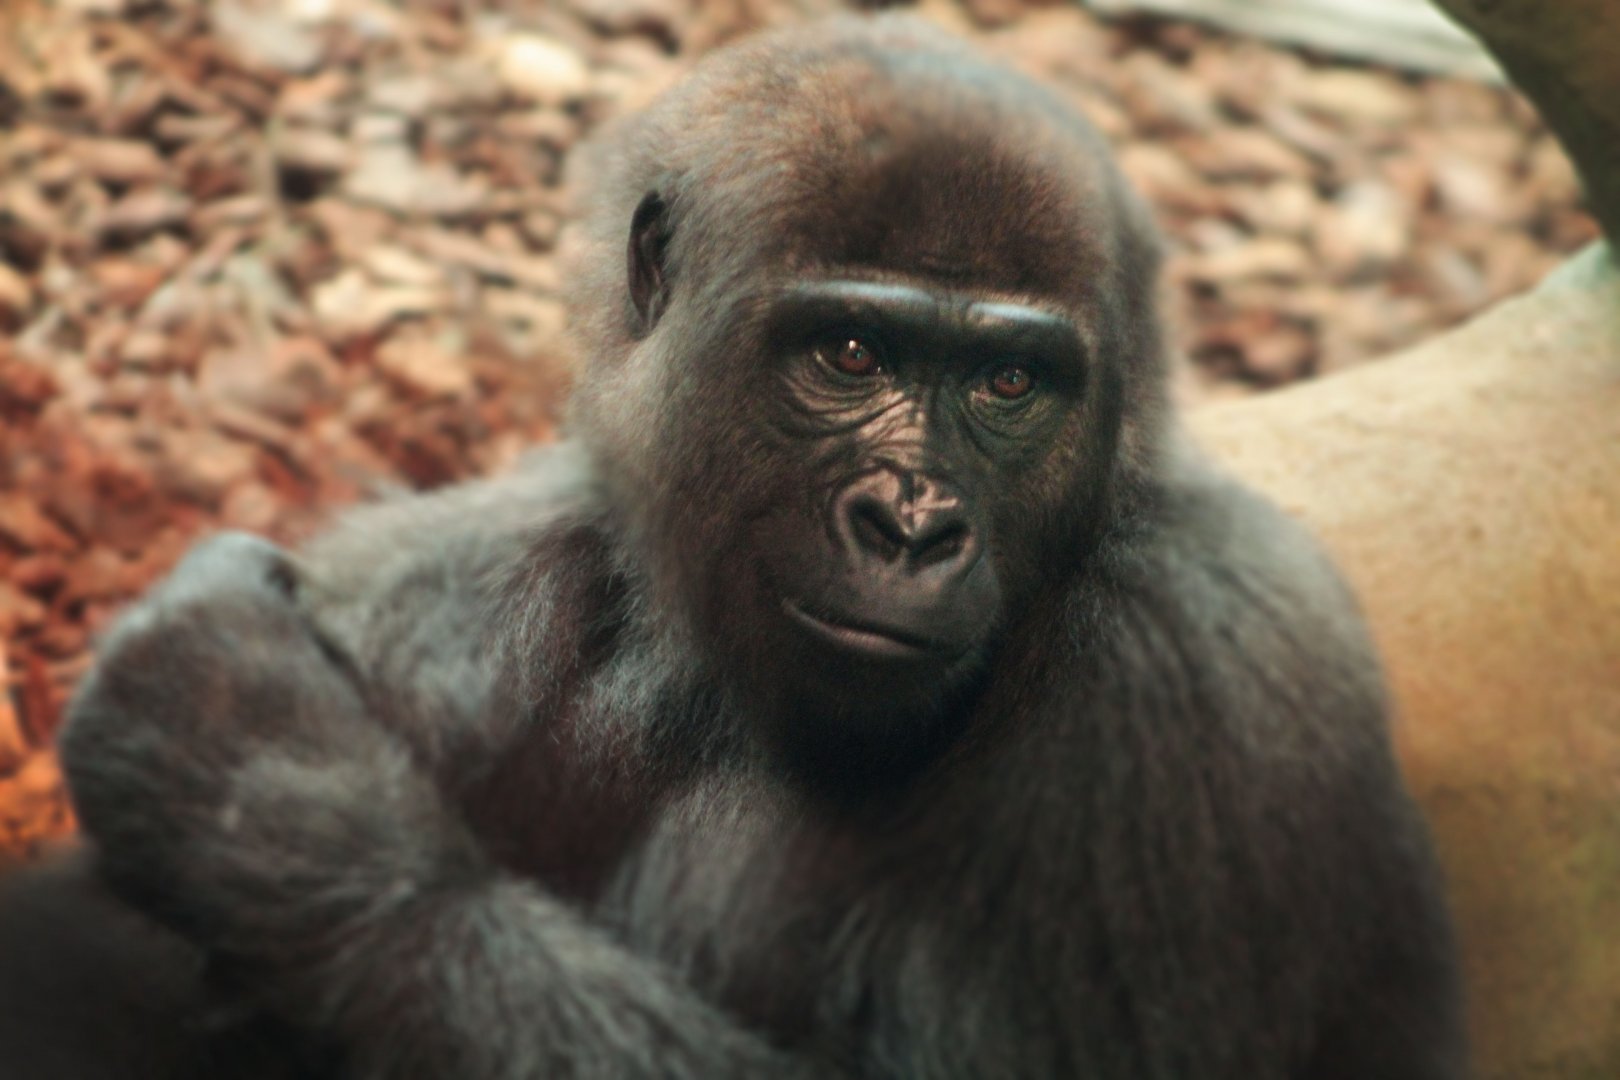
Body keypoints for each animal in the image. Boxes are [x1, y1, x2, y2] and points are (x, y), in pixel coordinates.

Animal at [0, 14, 1467, 1079]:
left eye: (1008, 383)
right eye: (851, 353)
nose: (912, 524)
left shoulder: (1203, 665)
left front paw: (260, 778)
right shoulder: (473, 574)